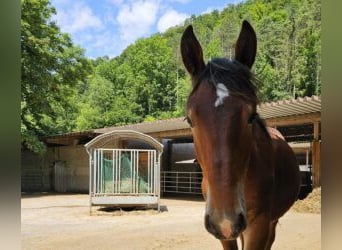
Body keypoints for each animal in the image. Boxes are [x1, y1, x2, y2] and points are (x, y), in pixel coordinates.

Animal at [180, 20, 300, 249]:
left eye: (252, 116)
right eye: (190, 120)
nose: (224, 219)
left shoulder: (259, 223)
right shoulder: (224, 233)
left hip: (269, 221)